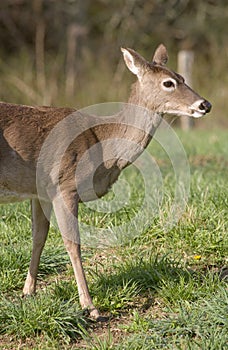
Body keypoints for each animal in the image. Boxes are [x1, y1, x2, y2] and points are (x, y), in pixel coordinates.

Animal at [0, 44, 211, 320]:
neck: (105, 150)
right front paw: (90, 306)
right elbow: (73, 243)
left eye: (183, 77)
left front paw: (28, 292)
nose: (205, 104)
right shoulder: (64, 185)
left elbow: (38, 237)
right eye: (168, 83)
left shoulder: (40, 192)